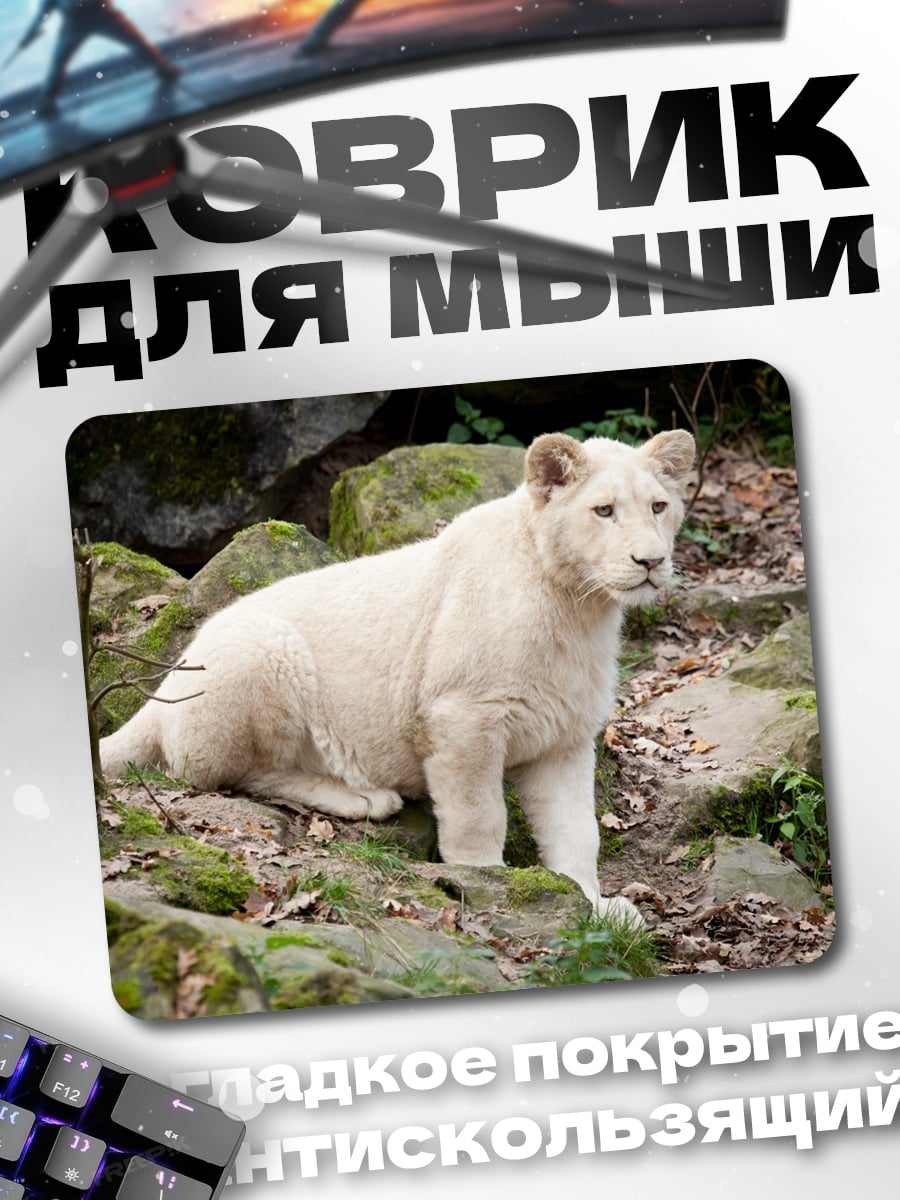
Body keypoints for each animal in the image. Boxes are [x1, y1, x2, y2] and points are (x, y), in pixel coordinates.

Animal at [101, 429, 695, 924]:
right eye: (604, 510)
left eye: (659, 506)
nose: (651, 561)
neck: (578, 607)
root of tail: (165, 682)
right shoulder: (461, 716)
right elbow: (480, 815)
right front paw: (492, 884)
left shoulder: (564, 733)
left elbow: (576, 830)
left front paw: (595, 907)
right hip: (261, 649)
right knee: (225, 773)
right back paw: (366, 797)